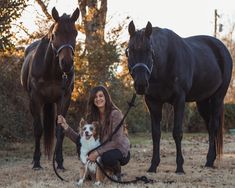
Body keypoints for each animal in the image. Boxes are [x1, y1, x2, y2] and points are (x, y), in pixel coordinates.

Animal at [20, 6, 79, 169]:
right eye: (55, 34)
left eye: (75, 33)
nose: (67, 63)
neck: (51, 70)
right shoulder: (36, 99)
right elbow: (38, 129)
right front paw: (36, 162)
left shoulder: (64, 98)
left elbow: (60, 130)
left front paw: (60, 162)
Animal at [126, 20, 232, 173]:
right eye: (130, 50)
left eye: (150, 51)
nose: (141, 84)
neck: (165, 63)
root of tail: (222, 48)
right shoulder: (153, 102)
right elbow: (156, 134)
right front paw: (153, 166)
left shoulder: (179, 100)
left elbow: (177, 132)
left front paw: (180, 167)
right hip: (203, 101)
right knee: (210, 126)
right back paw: (211, 160)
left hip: (218, 97)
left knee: (213, 126)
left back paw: (208, 161)